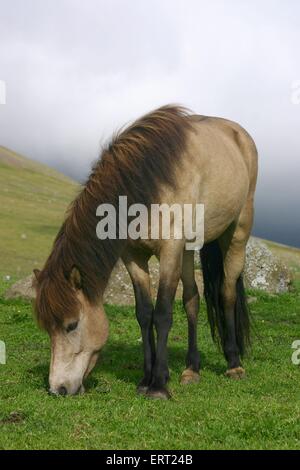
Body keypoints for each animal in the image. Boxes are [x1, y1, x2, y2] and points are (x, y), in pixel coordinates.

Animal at [33, 106, 258, 400]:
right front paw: (145, 379)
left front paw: (159, 384)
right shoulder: (134, 256)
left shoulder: (170, 250)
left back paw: (234, 364)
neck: (149, 184)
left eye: (71, 325)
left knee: (227, 293)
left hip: (237, 233)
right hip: (189, 249)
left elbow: (162, 313)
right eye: (47, 328)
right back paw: (191, 369)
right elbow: (144, 313)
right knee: (192, 300)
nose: (57, 388)